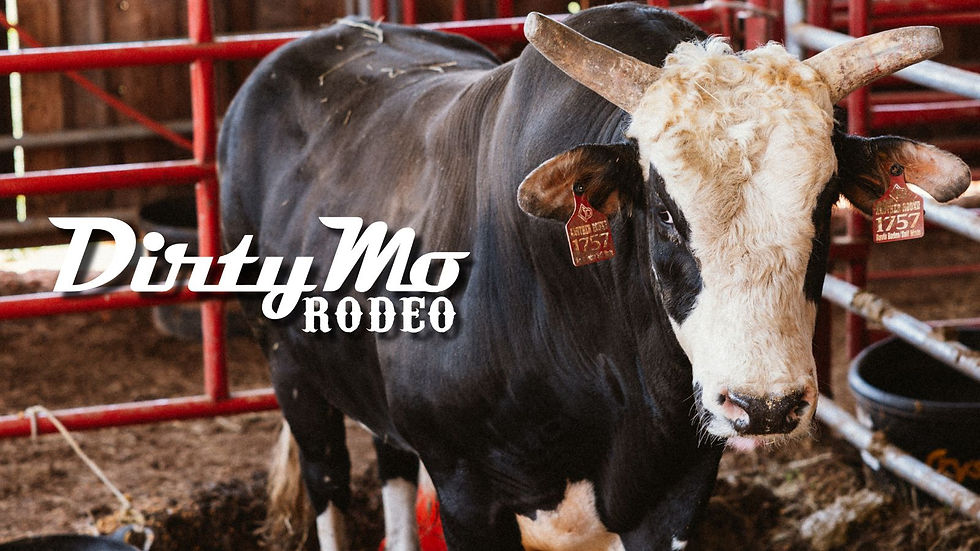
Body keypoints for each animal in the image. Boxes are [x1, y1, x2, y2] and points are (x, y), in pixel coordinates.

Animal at [217, 4, 970, 550]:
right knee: (329, 481)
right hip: (291, 371)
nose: (763, 406)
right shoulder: (467, 492)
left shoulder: (675, 490)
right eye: (664, 213)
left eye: (824, 201)